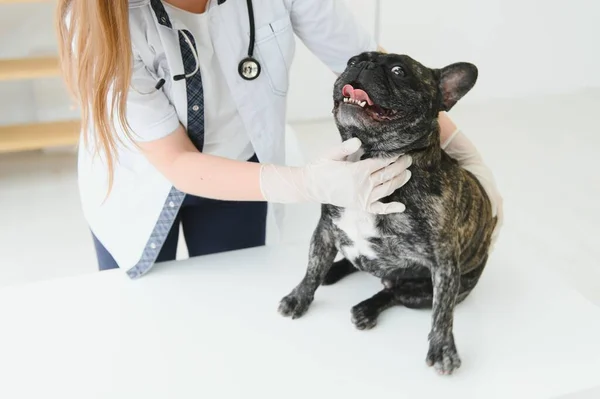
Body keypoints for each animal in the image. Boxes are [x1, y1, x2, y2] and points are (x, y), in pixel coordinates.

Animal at [276, 52, 496, 376]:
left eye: (399, 71)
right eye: (350, 61)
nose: (361, 65)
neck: (368, 157)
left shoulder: (443, 264)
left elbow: (442, 313)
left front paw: (443, 347)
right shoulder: (326, 230)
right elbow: (312, 269)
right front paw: (299, 297)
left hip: (433, 288)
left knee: (394, 293)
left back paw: (366, 309)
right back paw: (334, 271)